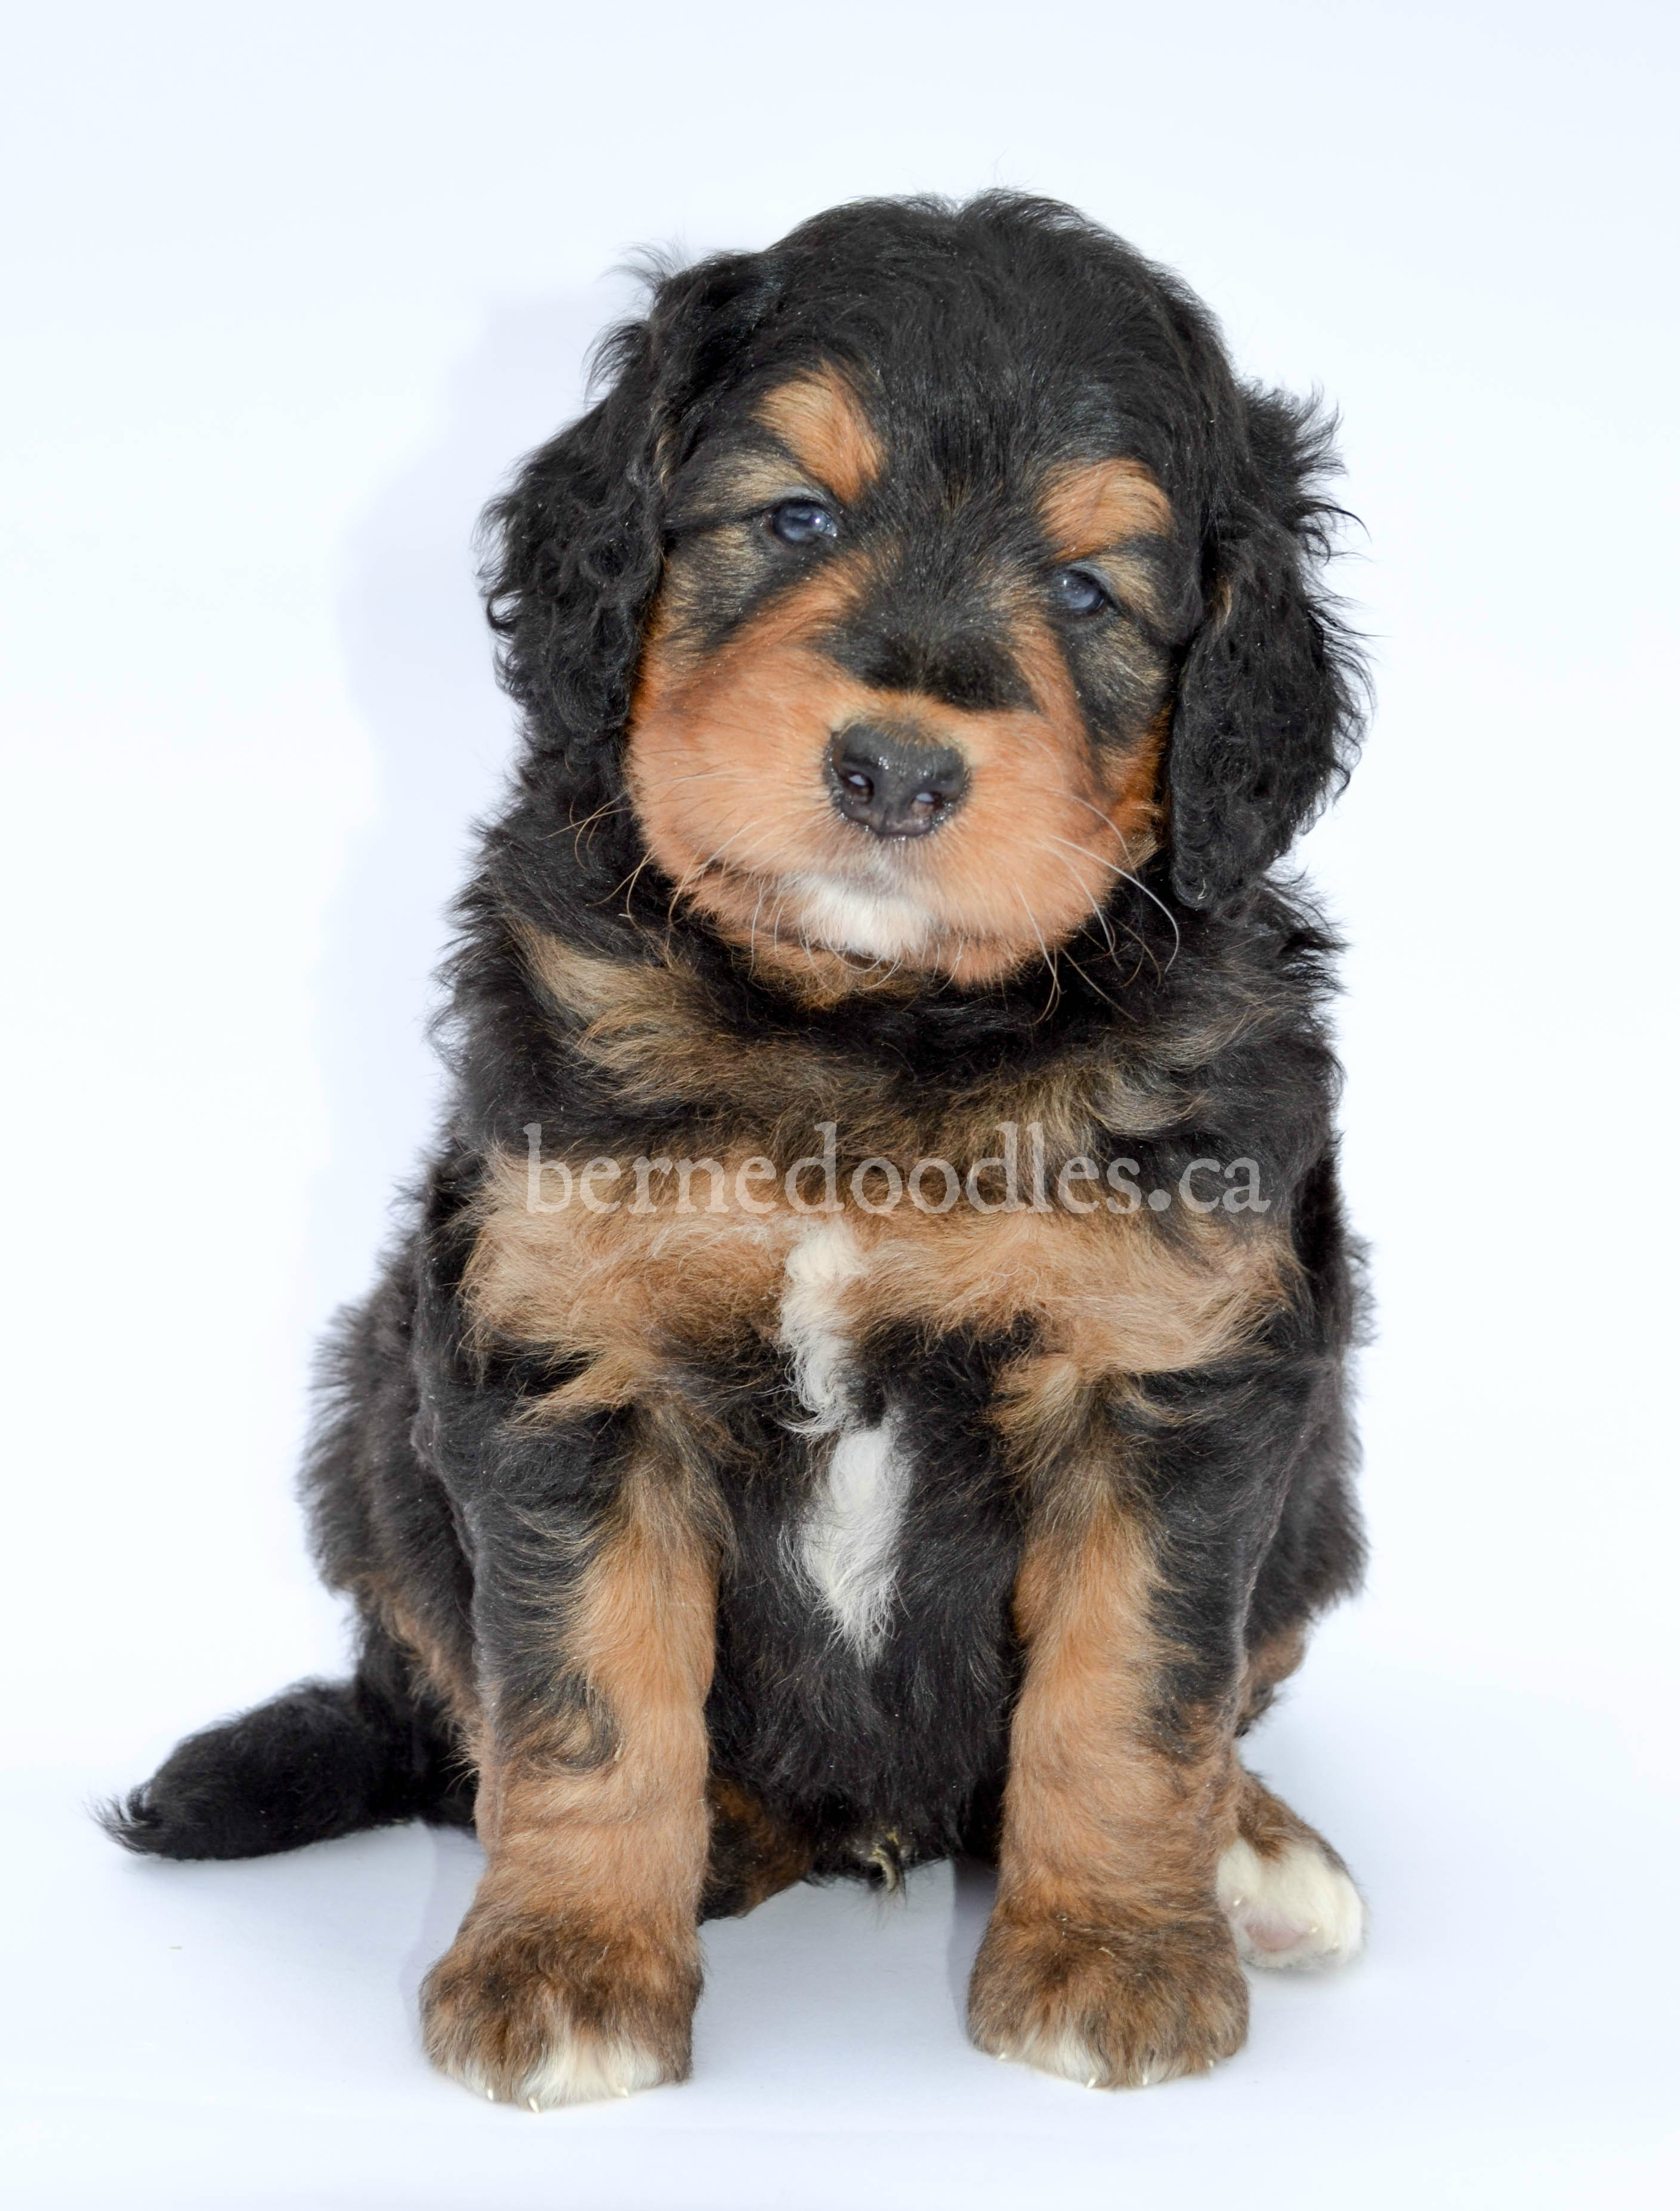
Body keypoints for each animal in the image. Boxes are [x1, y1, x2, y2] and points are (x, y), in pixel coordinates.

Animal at [105, 195, 1370, 2105]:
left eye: (1088, 593)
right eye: (796, 520)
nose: (899, 773)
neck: (863, 1037)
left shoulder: (1169, 1368)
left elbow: (1135, 1688)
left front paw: (1115, 1957)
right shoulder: (571, 1344)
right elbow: (583, 1694)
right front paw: (566, 1963)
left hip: (1325, 1492)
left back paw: (1256, 1853)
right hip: (373, 1436)